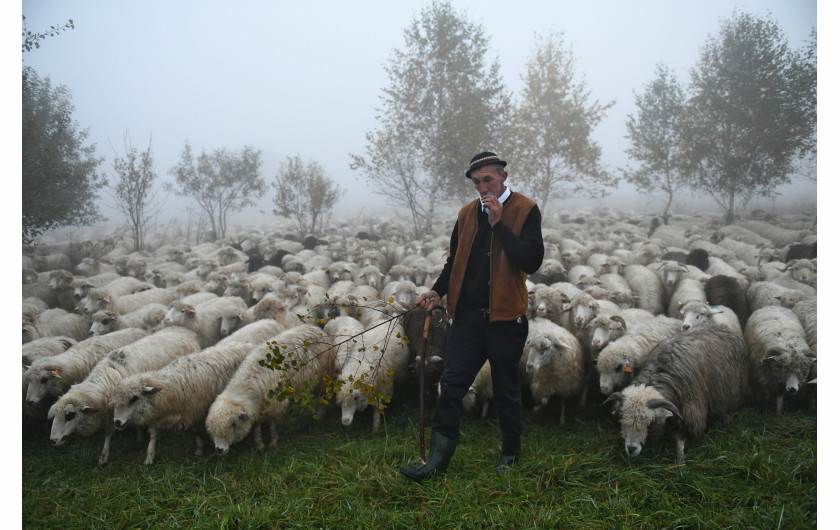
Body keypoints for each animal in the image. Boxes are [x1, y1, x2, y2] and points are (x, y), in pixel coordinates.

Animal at [47, 326, 202, 466]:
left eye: (70, 415)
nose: (53, 440)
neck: (108, 378)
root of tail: (185, 330)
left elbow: (112, 432)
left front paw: (105, 456)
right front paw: (137, 438)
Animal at [203, 324, 334, 452]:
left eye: (233, 424)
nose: (219, 450)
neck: (248, 383)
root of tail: (314, 327)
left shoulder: (274, 402)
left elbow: (270, 421)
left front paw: (272, 441)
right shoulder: (257, 407)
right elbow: (256, 424)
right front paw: (259, 444)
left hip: (323, 375)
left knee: (323, 396)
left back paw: (319, 417)